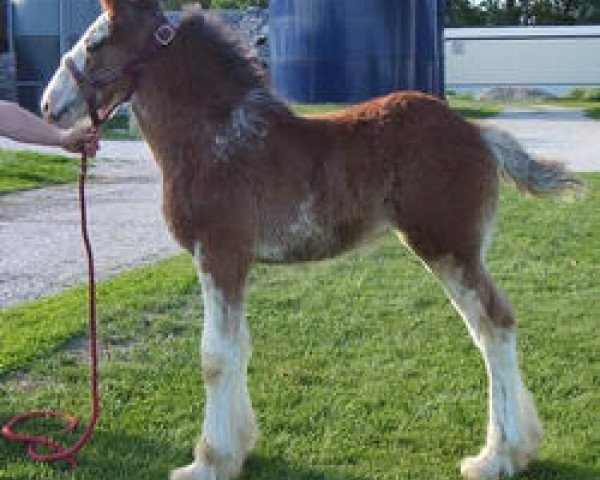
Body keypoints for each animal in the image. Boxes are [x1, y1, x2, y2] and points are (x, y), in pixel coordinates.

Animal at [41, 1, 580, 478]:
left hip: (449, 247)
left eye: (96, 42)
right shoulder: (234, 262)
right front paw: (237, 451)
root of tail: (479, 132)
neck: (215, 136)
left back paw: (497, 457)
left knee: (493, 324)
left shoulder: (219, 253)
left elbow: (214, 356)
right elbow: (238, 347)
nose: (48, 105)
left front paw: (207, 463)